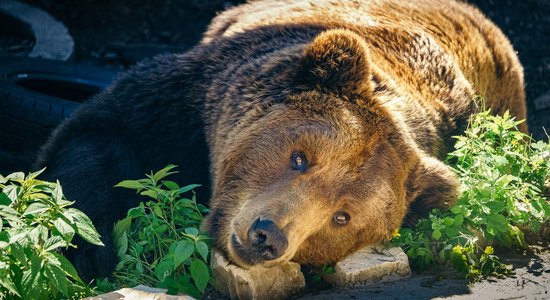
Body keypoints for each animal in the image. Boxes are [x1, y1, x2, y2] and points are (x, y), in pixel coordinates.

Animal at [36, 0, 528, 278]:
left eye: (343, 217)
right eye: (300, 158)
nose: (267, 235)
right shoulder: (187, 102)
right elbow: (98, 135)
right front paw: (87, 251)